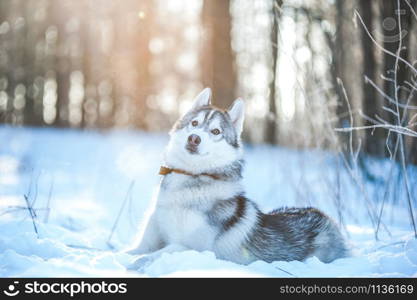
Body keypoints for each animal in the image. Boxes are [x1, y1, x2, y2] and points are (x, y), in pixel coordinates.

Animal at [127, 87, 348, 268]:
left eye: (216, 131)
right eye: (194, 123)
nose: (194, 138)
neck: (190, 178)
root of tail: (326, 217)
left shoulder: (193, 247)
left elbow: (154, 255)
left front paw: (136, 264)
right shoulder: (148, 238)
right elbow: (129, 251)